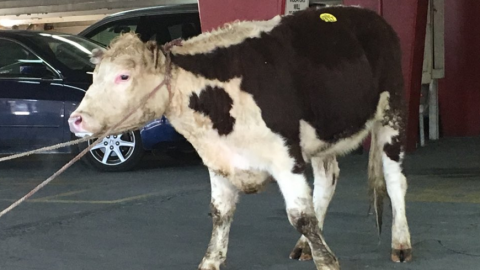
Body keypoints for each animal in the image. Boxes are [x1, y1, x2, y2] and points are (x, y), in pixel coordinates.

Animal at [67, 5, 412, 270]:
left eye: (124, 76)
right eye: (94, 76)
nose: (76, 119)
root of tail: (370, 15)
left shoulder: (287, 157)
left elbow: (302, 216)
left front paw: (327, 261)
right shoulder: (218, 159)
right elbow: (220, 214)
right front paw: (210, 261)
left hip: (392, 113)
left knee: (395, 180)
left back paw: (401, 243)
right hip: (323, 134)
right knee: (328, 179)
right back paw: (304, 246)